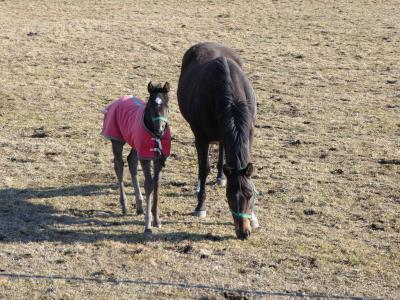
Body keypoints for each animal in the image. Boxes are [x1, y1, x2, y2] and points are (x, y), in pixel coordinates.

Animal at [101, 82, 170, 234]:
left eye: (166, 105)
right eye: (150, 105)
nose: (160, 129)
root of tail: (118, 100)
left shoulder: (159, 159)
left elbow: (156, 183)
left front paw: (157, 220)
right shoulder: (145, 157)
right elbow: (149, 184)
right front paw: (148, 225)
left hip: (135, 144)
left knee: (131, 161)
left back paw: (139, 206)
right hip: (117, 141)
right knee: (119, 166)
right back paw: (125, 206)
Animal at [177, 42, 258, 239]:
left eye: (250, 194)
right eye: (229, 197)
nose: (243, 233)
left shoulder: (249, 133)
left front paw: (253, 217)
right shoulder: (201, 137)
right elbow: (203, 168)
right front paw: (200, 207)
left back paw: (221, 176)